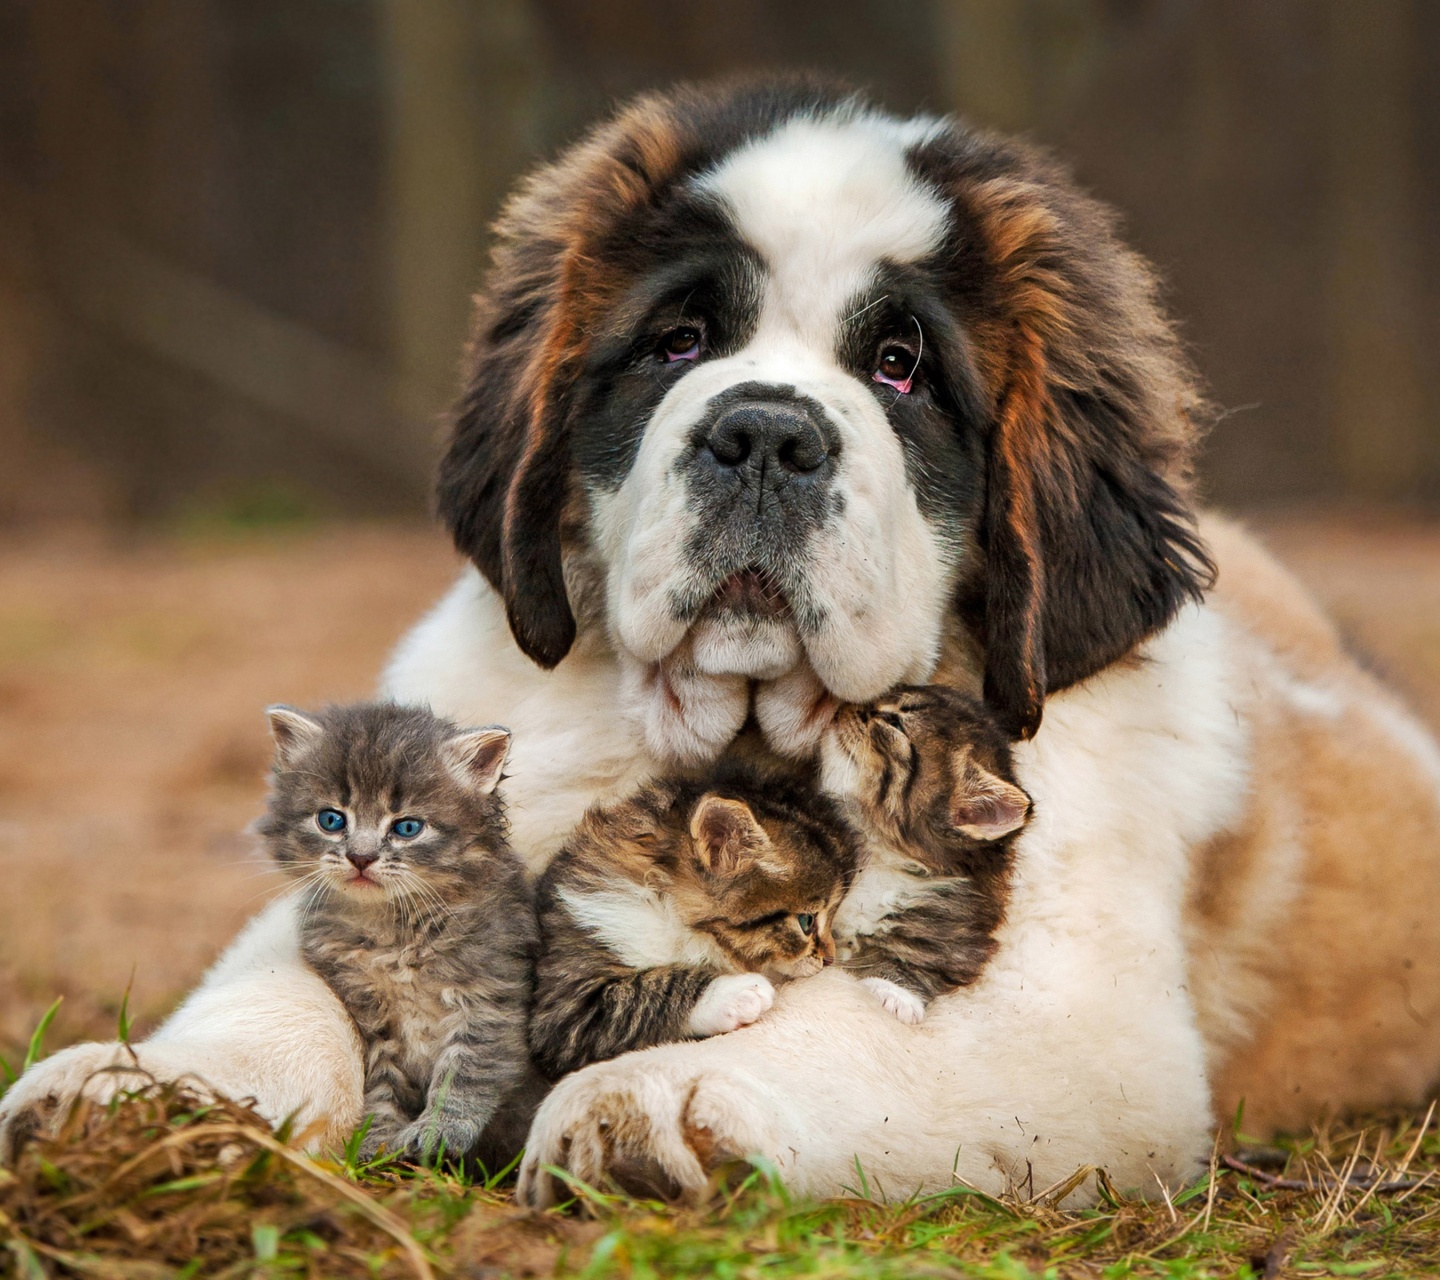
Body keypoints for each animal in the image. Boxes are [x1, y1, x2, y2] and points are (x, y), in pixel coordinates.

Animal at [256, 705, 538, 1163]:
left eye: (407, 828)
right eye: (331, 820)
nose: (361, 857)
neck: (392, 931)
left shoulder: (489, 997)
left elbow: (466, 1070)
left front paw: (440, 1130)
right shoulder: (371, 1017)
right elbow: (381, 1084)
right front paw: (377, 1140)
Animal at [532, 771, 858, 1076]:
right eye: (806, 921)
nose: (830, 958)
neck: (670, 915)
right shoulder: (567, 1010)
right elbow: (647, 991)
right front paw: (735, 994)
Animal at [817, 685, 1031, 1025]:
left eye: (894, 722)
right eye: (891, 693)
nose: (846, 706)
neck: (878, 855)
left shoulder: (956, 935)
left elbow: (919, 961)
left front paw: (895, 993)